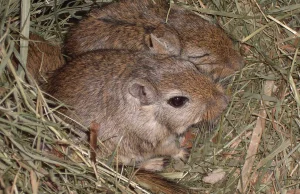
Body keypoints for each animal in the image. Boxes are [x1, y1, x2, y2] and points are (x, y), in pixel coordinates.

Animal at [46, 50, 227, 171]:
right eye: (177, 101)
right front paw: (183, 153)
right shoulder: (156, 142)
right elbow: (171, 149)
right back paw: (157, 163)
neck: (149, 113)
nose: (224, 102)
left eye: (192, 65)